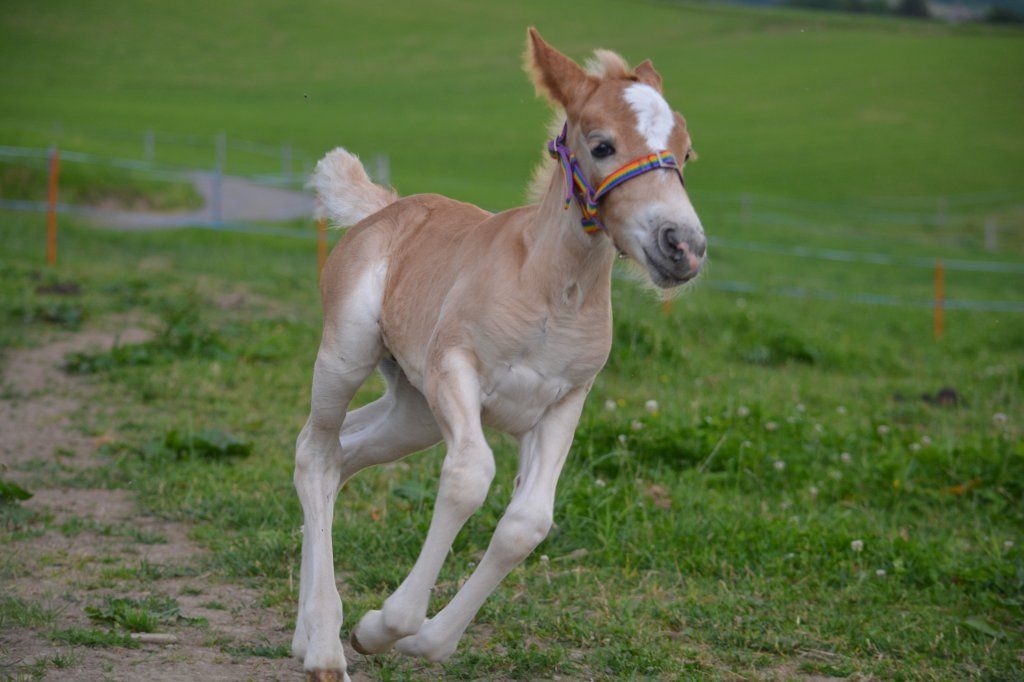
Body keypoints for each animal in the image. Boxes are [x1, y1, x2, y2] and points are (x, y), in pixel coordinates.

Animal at [288, 29, 704, 675]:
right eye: (602, 144)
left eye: (686, 154)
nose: (682, 245)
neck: (552, 292)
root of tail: (386, 207)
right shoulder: (455, 370)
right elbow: (468, 478)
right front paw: (382, 627)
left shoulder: (563, 402)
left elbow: (526, 524)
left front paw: (427, 641)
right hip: (349, 354)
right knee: (314, 452)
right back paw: (329, 648)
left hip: (413, 410)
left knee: (341, 456)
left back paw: (308, 636)